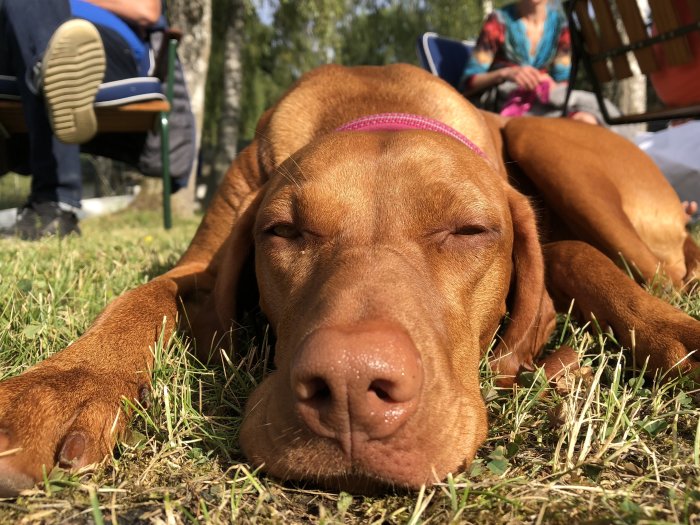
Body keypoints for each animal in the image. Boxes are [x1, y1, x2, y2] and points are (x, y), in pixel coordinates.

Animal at [1, 63, 700, 494]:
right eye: (283, 232)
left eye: (469, 231)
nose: (348, 389)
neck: (378, 108)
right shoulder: (198, 271)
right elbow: (146, 295)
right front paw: (63, 386)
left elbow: (574, 257)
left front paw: (672, 336)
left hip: (542, 141)